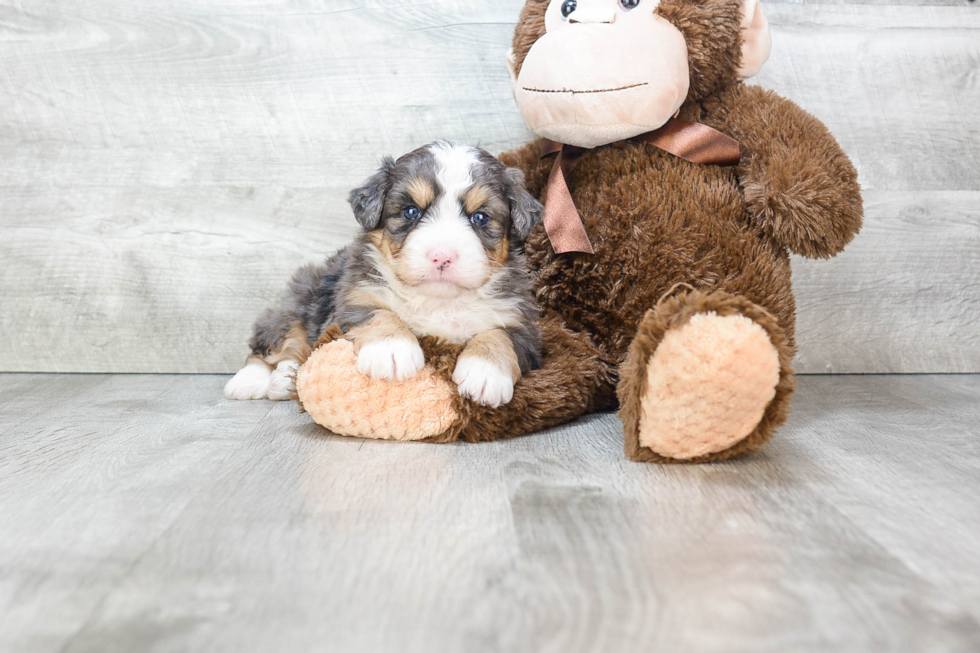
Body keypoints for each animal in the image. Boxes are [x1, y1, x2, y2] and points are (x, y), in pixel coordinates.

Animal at [225, 142, 544, 404]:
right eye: (411, 211)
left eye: (480, 217)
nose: (442, 256)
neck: (437, 301)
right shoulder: (354, 295)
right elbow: (379, 313)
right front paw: (392, 351)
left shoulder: (522, 323)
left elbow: (499, 335)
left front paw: (484, 373)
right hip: (298, 300)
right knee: (267, 346)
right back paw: (250, 381)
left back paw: (283, 379)